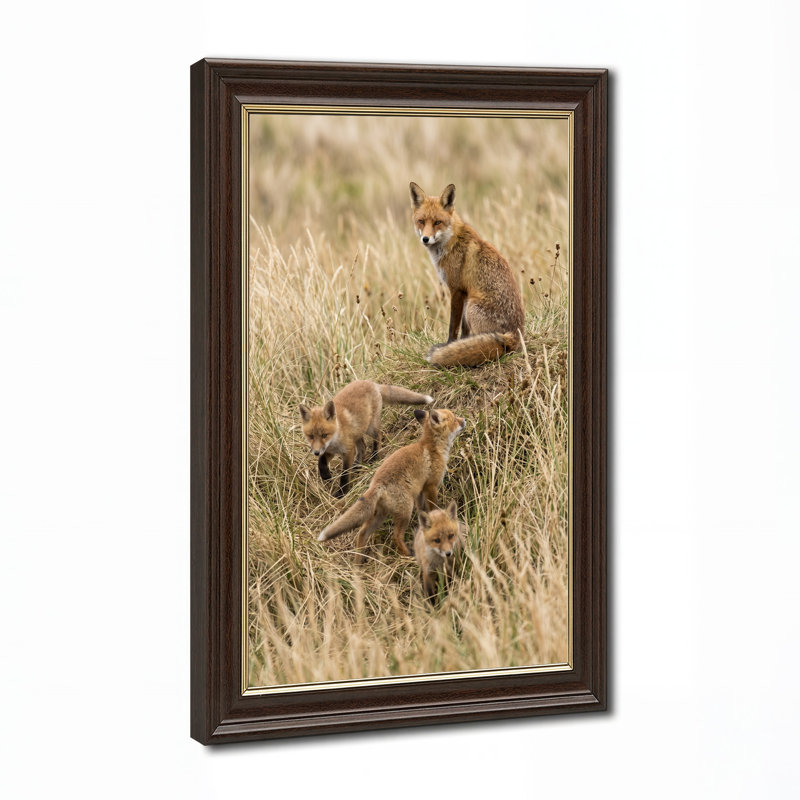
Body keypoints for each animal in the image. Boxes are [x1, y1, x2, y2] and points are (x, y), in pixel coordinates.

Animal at [299, 379, 433, 496]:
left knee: (379, 436)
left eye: (324, 435)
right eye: (310, 436)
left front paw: (342, 493)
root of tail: (371, 382)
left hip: (370, 428)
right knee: (363, 447)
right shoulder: (329, 450)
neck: (336, 435)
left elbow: (344, 475)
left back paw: (374, 457)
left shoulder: (348, 450)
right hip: (358, 432)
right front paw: (325, 475)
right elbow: (321, 462)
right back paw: (357, 465)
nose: (316, 452)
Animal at [317, 408, 466, 562]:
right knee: (396, 537)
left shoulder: (420, 491)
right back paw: (408, 554)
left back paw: (358, 562)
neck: (433, 449)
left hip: (380, 515)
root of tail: (376, 483)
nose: (464, 420)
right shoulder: (431, 486)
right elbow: (433, 508)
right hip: (405, 510)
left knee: (362, 533)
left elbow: (422, 511)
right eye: (454, 419)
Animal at [410, 182, 525, 367]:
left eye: (437, 222)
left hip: (472, 305)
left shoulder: (457, 290)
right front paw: (460, 345)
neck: (450, 241)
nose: (425, 239)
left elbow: (453, 326)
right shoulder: (464, 292)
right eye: (421, 221)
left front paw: (449, 346)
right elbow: (463, 330)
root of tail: (515, 336)